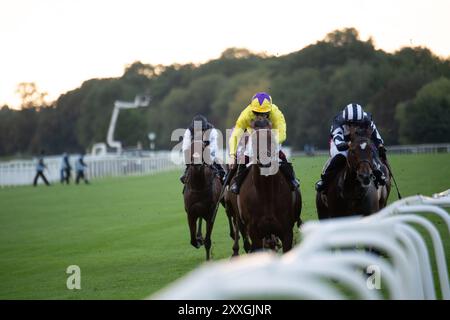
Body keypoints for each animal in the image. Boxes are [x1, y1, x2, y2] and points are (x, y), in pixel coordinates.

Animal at [229, 116, 302, 254]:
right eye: (254, 139)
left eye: (270, 137)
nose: (265, 160)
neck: (266, 193)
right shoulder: (255, 235)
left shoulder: (286, 232)